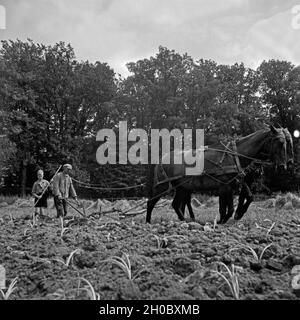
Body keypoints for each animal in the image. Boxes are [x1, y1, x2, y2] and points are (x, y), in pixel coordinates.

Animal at [146, 124, 288, 222]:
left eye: (286, 142)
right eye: (280, 142)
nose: (283, 166)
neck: (235, 156)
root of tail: (161, 159)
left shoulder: (232, 185)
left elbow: (235, 205)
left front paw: (229, 218)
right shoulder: (225, 186)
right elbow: (225, 208)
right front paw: (222, 220)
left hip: (182, 187)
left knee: (176, 204)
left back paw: (185, 221)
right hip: (163, 185)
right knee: (151, 202)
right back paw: (148, 222)